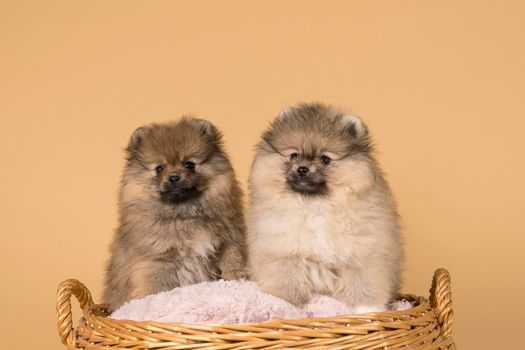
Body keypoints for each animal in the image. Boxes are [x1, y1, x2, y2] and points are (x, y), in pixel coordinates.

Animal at [105, 117, 249, 308]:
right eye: (159, 168)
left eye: (189, 164)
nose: (174, 177)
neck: (183, 214)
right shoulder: (156, 260)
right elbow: (158, 287)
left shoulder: (228, 240)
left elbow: (232, 260)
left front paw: (237, 279)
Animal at [248, 102, 404, 314]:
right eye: (294, 155)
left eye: (325, 159)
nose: (302, 169)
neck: (315, 205)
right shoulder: (283, 253)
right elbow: (287, 284)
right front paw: (288, 306)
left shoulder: (362, 252)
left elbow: (363, 284)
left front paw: (367, 310)